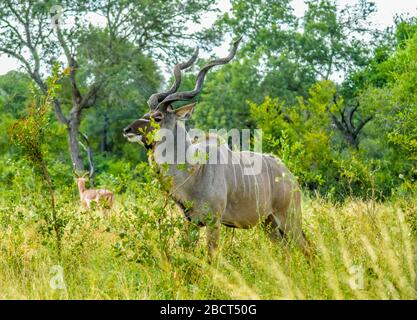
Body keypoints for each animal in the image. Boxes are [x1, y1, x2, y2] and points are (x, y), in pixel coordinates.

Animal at [122, 37, 310, 258]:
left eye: (158, 117)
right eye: (146, 113)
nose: (127, 130)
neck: (194, 170)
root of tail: (289, 175)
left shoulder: (214, 222)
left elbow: (211, 258)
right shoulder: (191, 222)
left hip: (289, 219)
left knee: (307, 249)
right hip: (269, 224)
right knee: (287, 251)